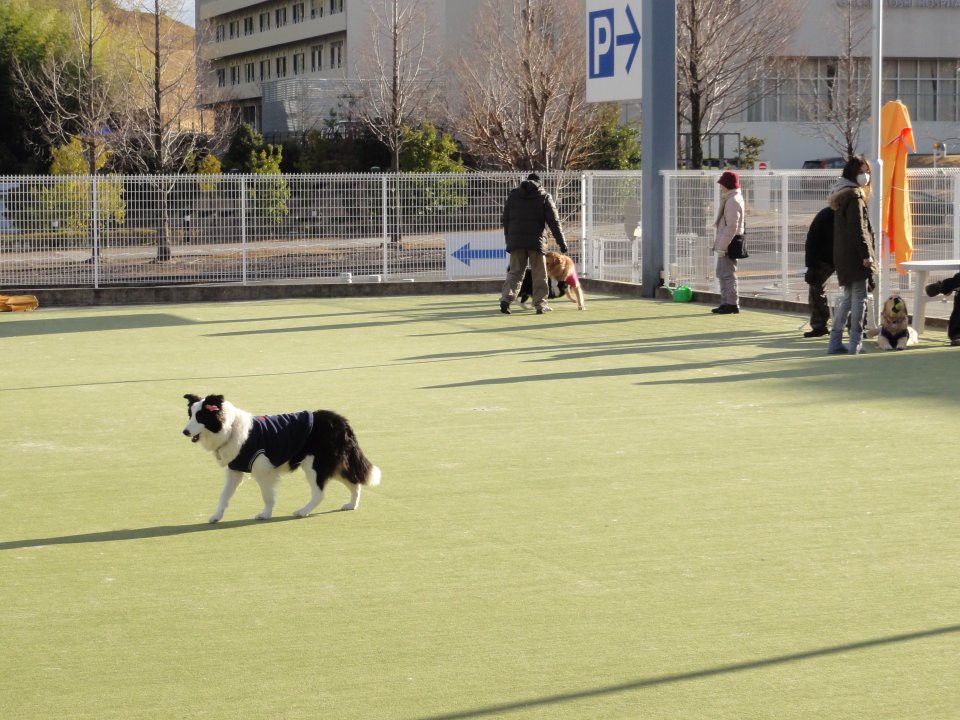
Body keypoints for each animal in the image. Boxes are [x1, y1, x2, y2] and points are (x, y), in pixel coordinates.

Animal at [184, 394, 382, 524]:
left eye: (201, 416)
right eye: (190, 415)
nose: (184, 432)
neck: (229, 428)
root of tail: (340, 421)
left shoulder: (263, 470)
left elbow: (267, 496)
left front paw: (265, 515)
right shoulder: (235, 471)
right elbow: (224, 495)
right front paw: (216, 516)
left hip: (314, 465)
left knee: (320, 493)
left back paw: (302, 511)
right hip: (333, 464)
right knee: (354, 482)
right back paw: (351, 505)